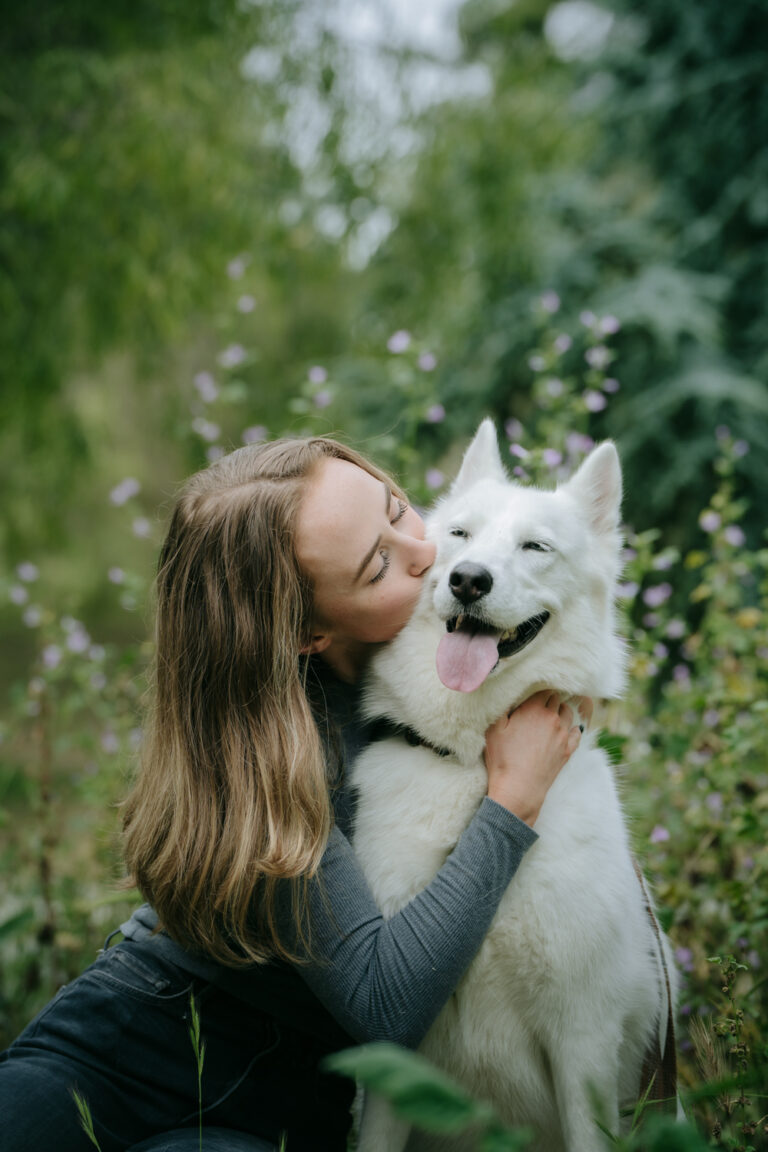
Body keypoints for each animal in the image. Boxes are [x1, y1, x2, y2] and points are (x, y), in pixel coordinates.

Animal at [352, 423, 677, 1152]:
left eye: (536, 547)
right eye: (460, 535)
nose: (468, 580)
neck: (478, 774)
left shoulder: (583, 1044)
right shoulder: (394, 1050)